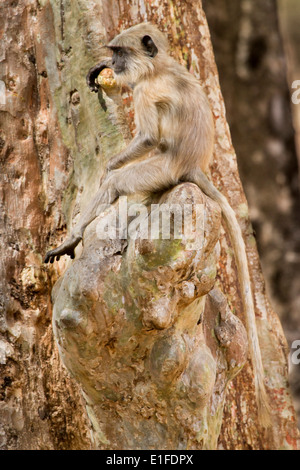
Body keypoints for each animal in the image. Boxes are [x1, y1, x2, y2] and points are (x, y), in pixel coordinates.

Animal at [45, 22, 272, 426]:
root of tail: (192, 167)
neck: (161, 67)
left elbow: (148, 138)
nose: (115, 63)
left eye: (121, 52)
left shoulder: (148, 91)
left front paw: (109, 165)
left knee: (119, 182)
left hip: (159, 170)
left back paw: (74, 238)